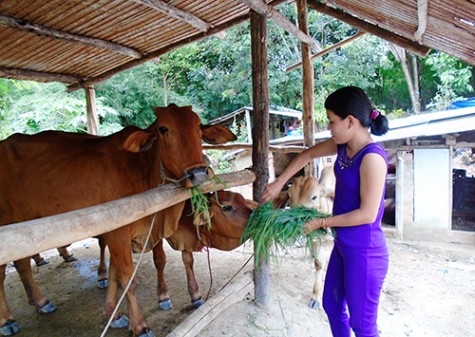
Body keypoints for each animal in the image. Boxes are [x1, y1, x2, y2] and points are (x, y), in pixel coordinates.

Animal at [0, 103, 237, 334]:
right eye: (163, 129)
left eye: (198, 127)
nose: (199, 173)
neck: (141, 169)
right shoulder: (118, 234)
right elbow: (128, 279)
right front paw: (139, 326)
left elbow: (121, 273)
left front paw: (114, 314)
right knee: (8, 269)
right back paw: (8, 320)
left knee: (21, 264)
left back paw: (39, 301)